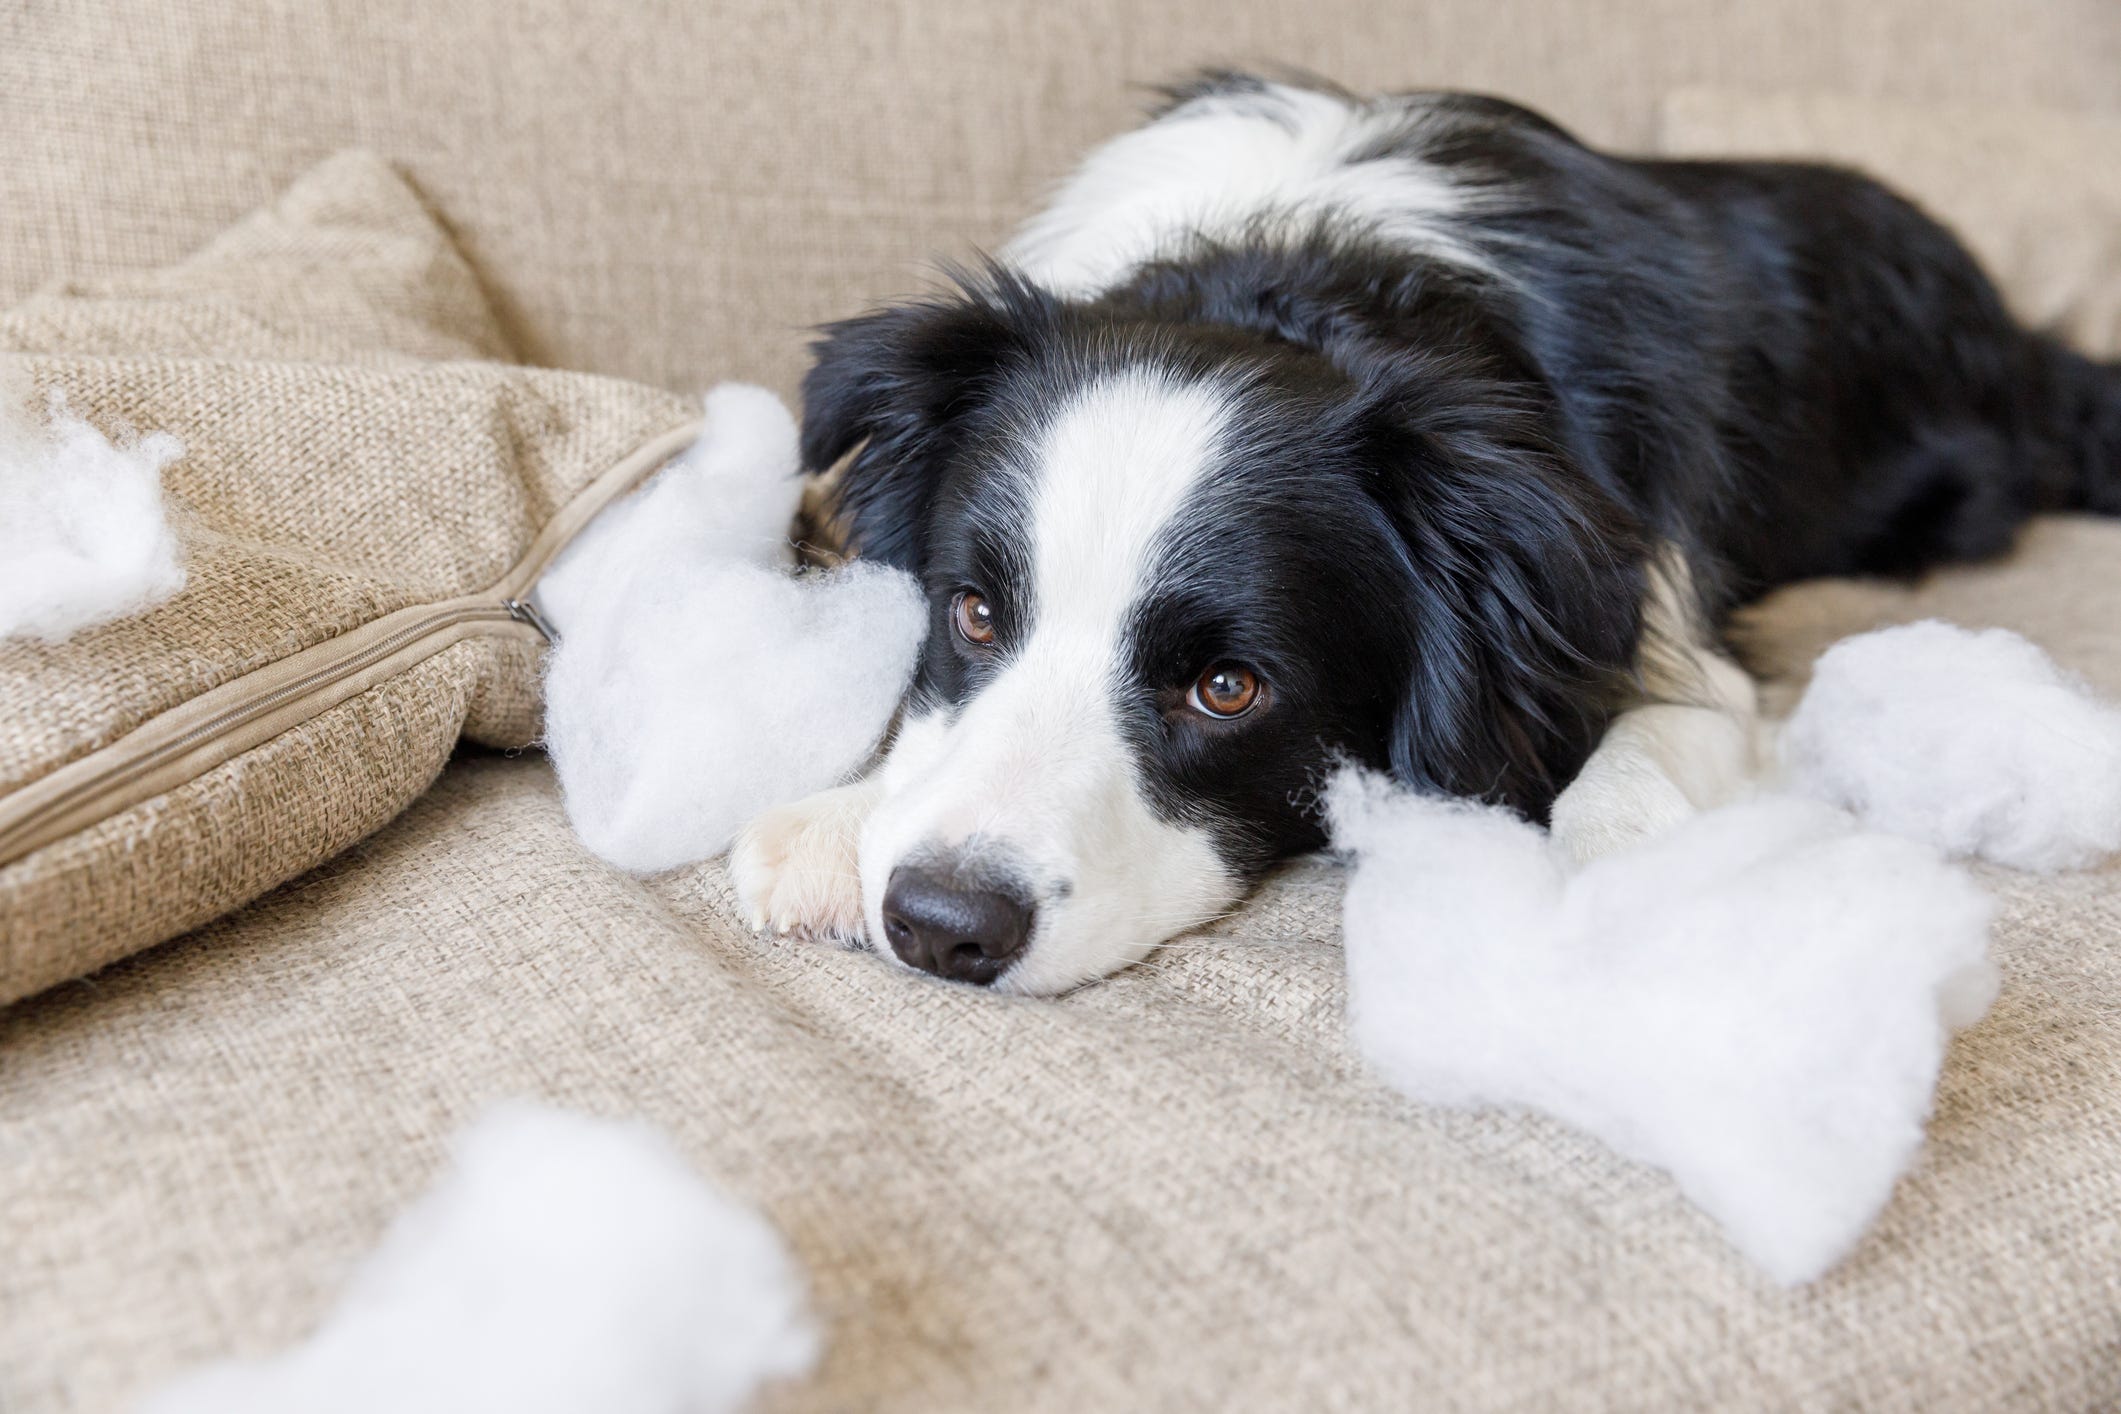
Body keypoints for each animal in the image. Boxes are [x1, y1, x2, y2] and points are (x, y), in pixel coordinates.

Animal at [733, 68, 2121, 996]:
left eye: (1229, 688)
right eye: (973, 613)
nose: (939, 922)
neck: (1307, 276)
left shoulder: (1668, 619)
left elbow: (1645, 755)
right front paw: (835, 822)